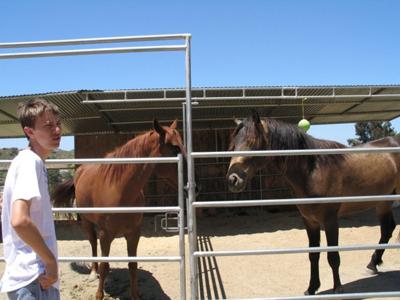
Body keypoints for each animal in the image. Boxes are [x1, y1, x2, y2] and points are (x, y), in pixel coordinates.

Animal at [51, 120, 186, 300]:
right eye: (174, 149)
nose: (195, 186)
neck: (120, 190)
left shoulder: (134, 233)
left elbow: (132, 265)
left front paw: (135, 295)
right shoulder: (105, 234)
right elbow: (103, 265)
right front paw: (99, 294)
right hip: (87, 223)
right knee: (93, 245)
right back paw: (93, 273)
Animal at [227, 110, 398, 296]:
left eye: (252, 142)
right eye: (234, 144)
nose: (232, 179)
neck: (314, 170)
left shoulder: (330, 220)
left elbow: (333, 256)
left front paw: (338, 289)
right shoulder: (309, 221)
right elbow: (313, 255)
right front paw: (311, 288)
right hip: (383, 202)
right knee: (387, 229)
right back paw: (373, 263)